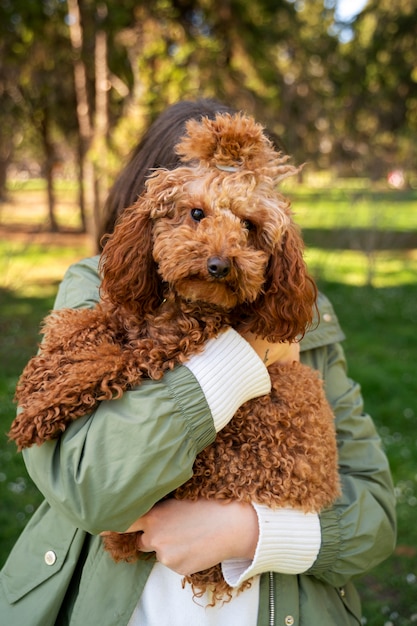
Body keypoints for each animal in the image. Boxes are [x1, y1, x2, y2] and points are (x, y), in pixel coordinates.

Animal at [9, 111, 340, 600]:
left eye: (248, 226)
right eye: (197, 213)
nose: (220, 265)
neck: (181, 307)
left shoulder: (160, 350)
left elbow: (102, 365)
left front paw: (40, 410)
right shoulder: (130, 313)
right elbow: (84, 323)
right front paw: (41, 369)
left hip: (222, 459)